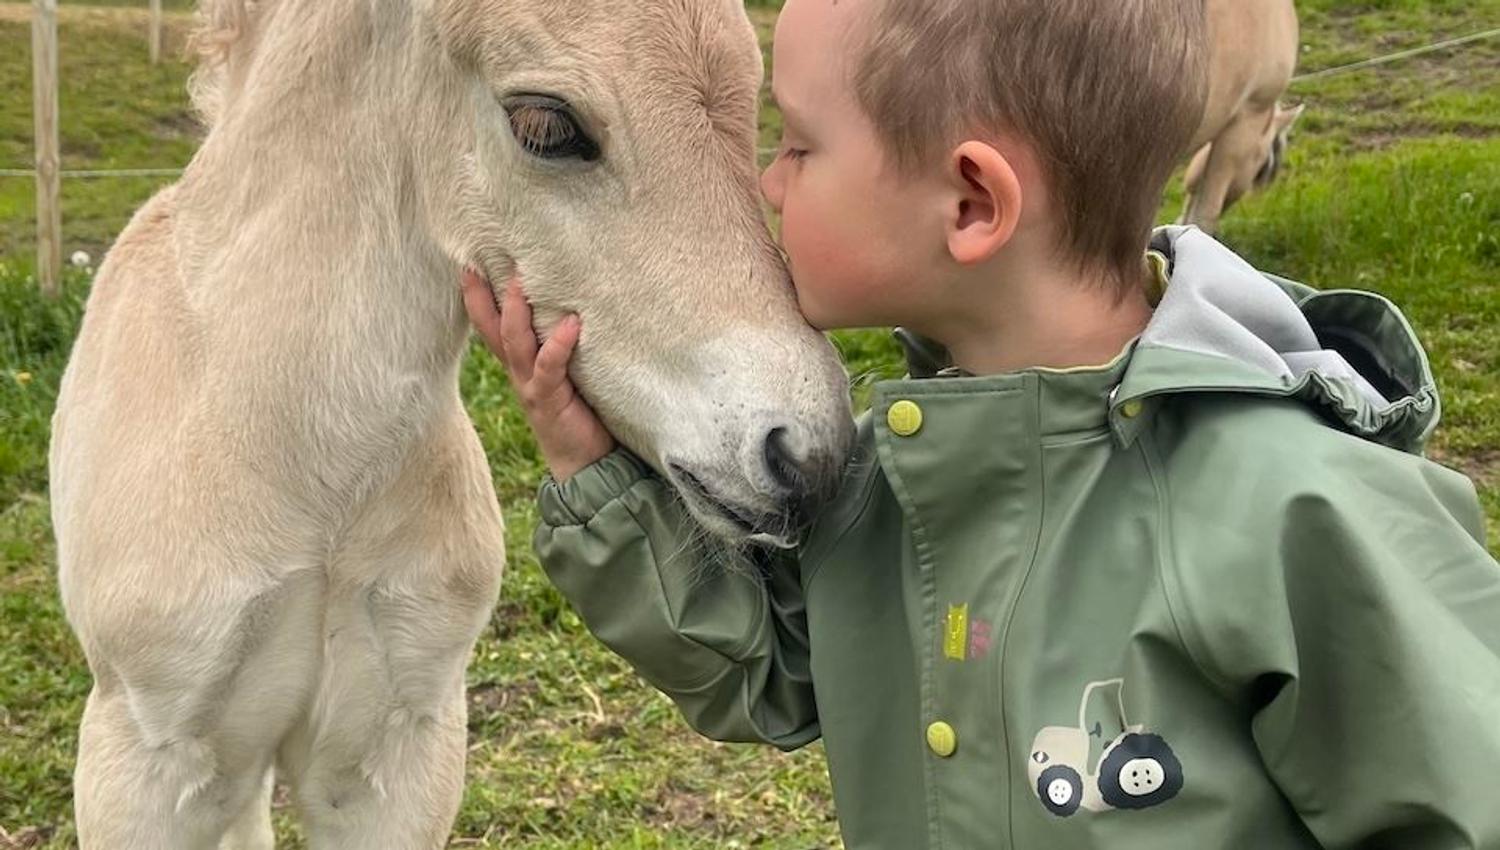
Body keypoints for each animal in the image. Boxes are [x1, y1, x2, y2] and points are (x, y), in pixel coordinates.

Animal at [47, 0, 852, 845]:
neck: (304, 473)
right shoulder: (143, 763)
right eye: (544, 125)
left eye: (754, 100)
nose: (807, 455)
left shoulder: (397, 750)